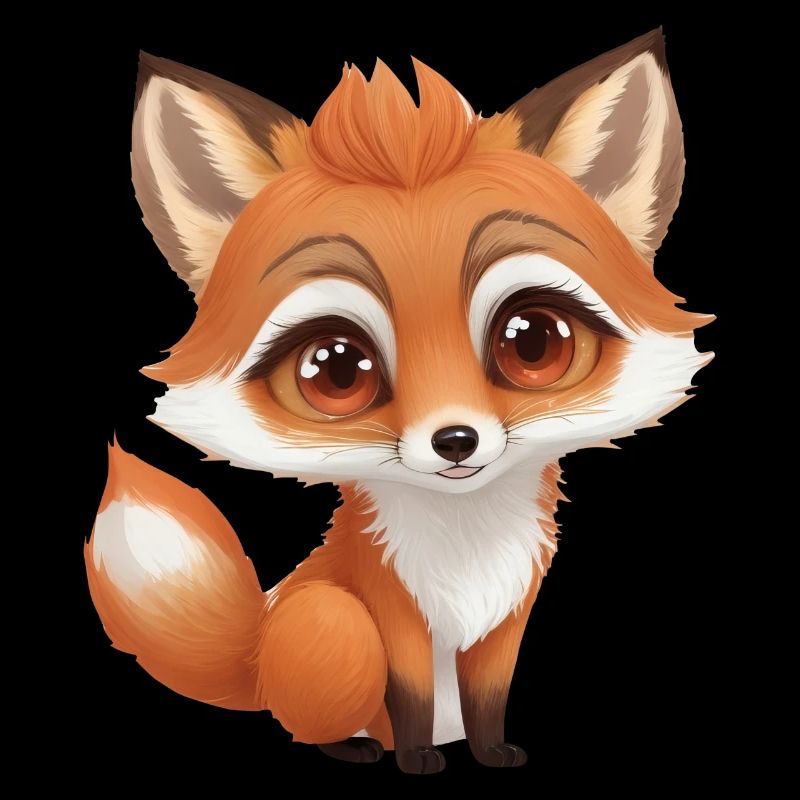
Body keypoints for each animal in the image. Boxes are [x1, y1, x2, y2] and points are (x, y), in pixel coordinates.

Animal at [87, 29, 711, 773]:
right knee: (312, 721)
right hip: (333, 619)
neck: (465, 548)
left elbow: (489, 697)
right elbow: (410, 694)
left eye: (532, 342)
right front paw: (416, 761)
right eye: (336, 370)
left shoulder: (509, 614)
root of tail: (257, 656)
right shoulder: (392, 609)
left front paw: (493, 752)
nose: (456, 441)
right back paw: (357, 747)